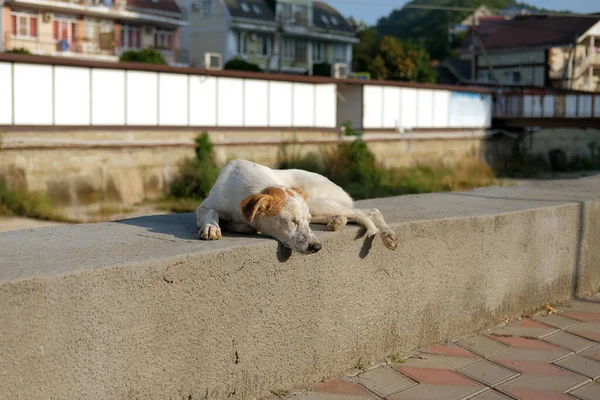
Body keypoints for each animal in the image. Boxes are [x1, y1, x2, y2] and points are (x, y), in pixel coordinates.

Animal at [197, 161, 398, 258]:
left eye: (299, 221)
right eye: (290, 221)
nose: (316, 247)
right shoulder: (204, 206)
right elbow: (211, 211)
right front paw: (212, 227)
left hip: (316, 201)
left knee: (370, 211)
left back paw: (387, 235)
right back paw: (336, 219)